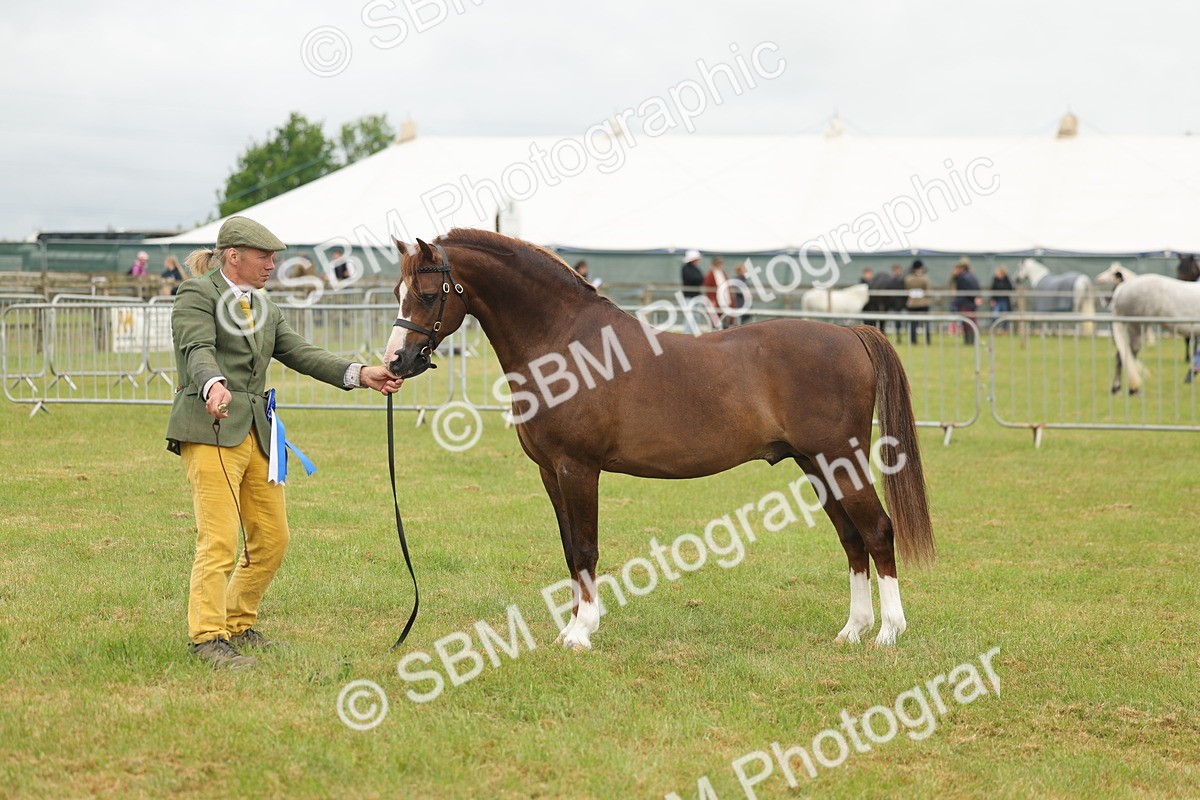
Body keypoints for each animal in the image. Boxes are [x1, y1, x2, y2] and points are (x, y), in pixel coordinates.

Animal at [383, 230, 934, 650]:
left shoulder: (578, 468)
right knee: (851, 538)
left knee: (877, 531)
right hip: (817, 464)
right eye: (395, 292)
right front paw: (570, 627)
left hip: (841, 458)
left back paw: (888, 633)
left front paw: (581, 633)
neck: (565, 343)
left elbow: (585, 548)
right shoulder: (549, 471)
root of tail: (850, 334)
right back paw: (852, 630)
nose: (395, 361)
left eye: (428, 294)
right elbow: (568, 550)